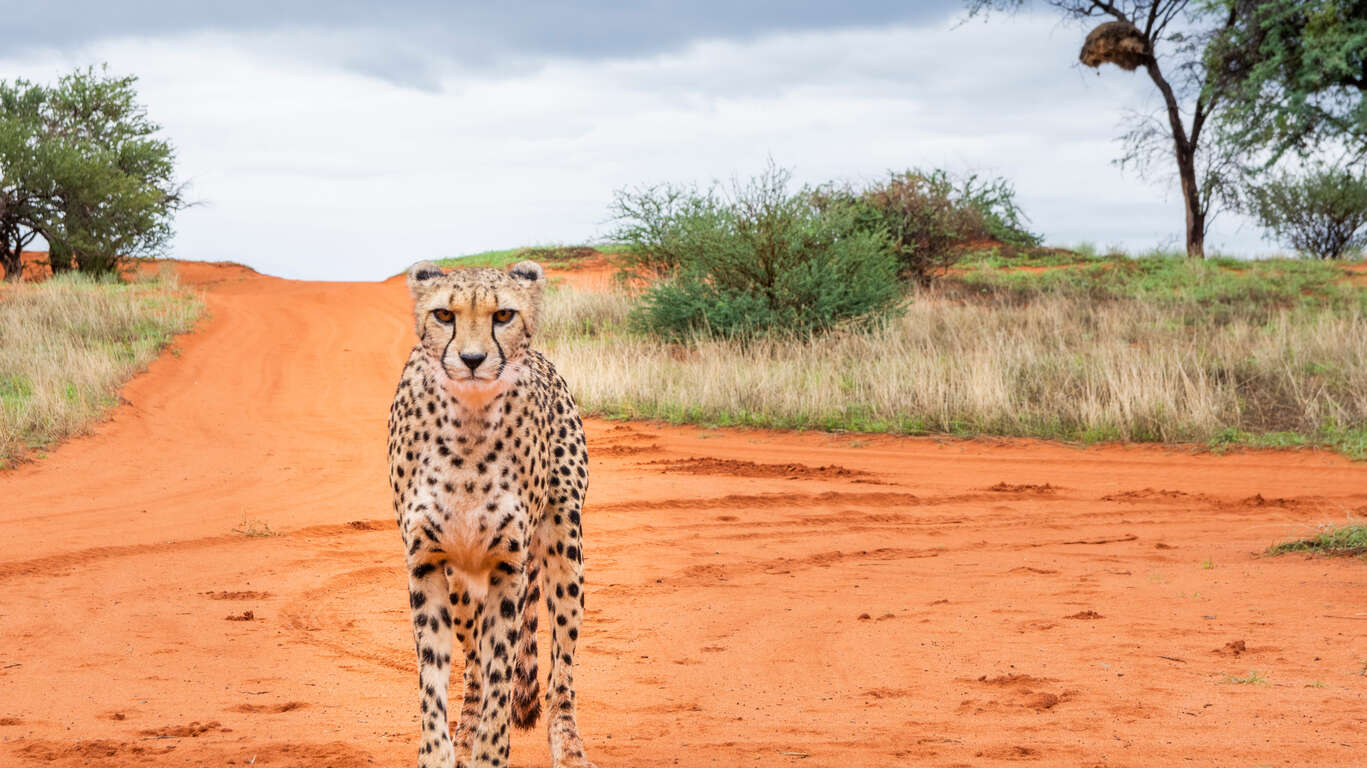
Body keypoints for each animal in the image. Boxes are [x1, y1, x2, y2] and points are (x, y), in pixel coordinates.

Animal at [388, 258, 596, 765]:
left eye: (503, 315)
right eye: (444, 314)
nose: (472, 359)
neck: (469, 429)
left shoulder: (509, 565)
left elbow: (503, 667)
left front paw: (491, 752)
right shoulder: (427, 563)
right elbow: (435, 676)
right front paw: (440, 753)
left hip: (565, 547)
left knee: (560, 669)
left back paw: (568, 745)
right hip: (462, 581)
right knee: (472, 668)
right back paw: (464, 732)